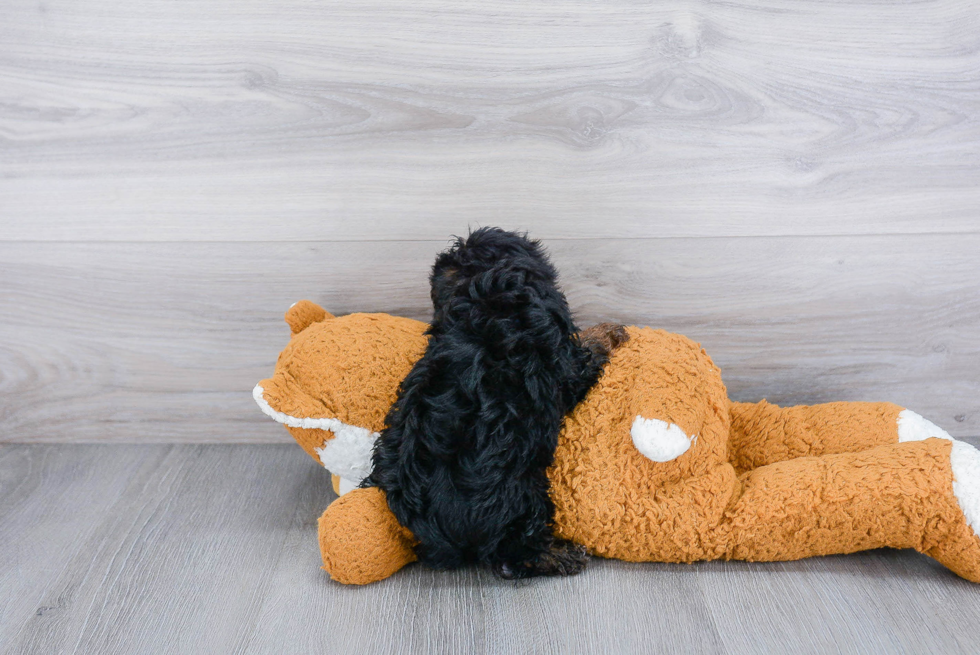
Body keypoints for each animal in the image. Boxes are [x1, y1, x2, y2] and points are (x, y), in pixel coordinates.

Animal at [364, 229, 624, 580]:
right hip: (519, 492)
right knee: (512, 550)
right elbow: (583, 357)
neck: (482, 298)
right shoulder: (563, 365)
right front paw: (607, 334)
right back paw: (558, 555)